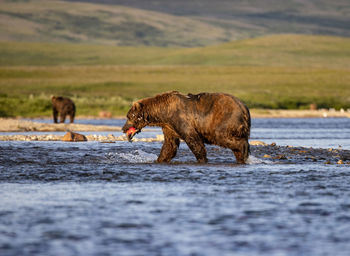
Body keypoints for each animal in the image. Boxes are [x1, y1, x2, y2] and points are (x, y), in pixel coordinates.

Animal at [121, 91, 250, 164]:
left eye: (129, 116)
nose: (123, 128)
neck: (162, 112)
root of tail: (244, 108)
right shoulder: (169, 126)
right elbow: (170, 145)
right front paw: (159, 159)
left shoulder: (179, 118)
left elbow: (192, 139)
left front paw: (202, 159)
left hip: (224, 120)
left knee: (222, 136)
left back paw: (243, 153)